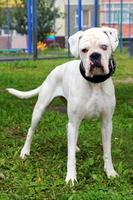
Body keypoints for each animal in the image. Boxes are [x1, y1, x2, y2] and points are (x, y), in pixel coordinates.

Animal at [6, 26, 118, 184]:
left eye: (104, 47)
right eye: (84, 50)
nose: (94, 55)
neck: (95, 83)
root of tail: (54, 70)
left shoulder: (106, 123)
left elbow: (107, 152)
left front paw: (110, 172)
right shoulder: (74, 122)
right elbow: (70, 157)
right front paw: (71, 177)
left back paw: (75, 146)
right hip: (40, 110)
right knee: (31, 130)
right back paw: (25, 152)